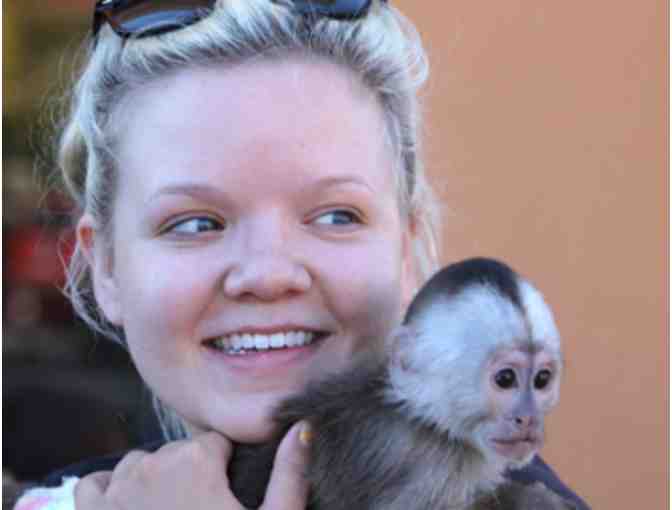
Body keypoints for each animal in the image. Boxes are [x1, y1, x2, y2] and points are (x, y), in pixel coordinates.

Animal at [226, 257, 577, 509]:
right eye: (505, 379)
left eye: (542, 379)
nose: (527, 417)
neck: (426, 420)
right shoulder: (422, 464)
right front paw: (534, 502)